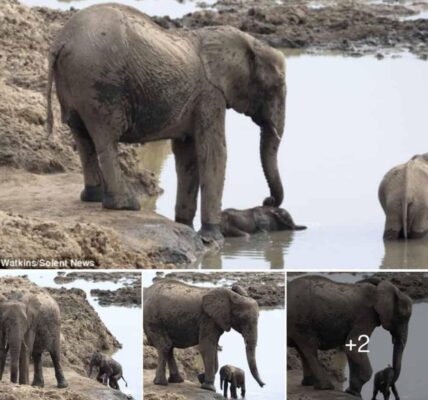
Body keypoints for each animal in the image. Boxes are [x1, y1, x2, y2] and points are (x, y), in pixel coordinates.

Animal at [47, 4, 288, 245]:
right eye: (276, 86)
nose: (267, 200)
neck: (247, 41)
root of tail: (61, 41)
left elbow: (188, 155)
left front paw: (184, 224)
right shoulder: (210, 95)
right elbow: (214, 152)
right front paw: (212, 238)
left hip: (76, 83)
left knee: (82, 137)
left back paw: (93, 197)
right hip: (100, 84)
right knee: (106, 139)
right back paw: (125, 205)